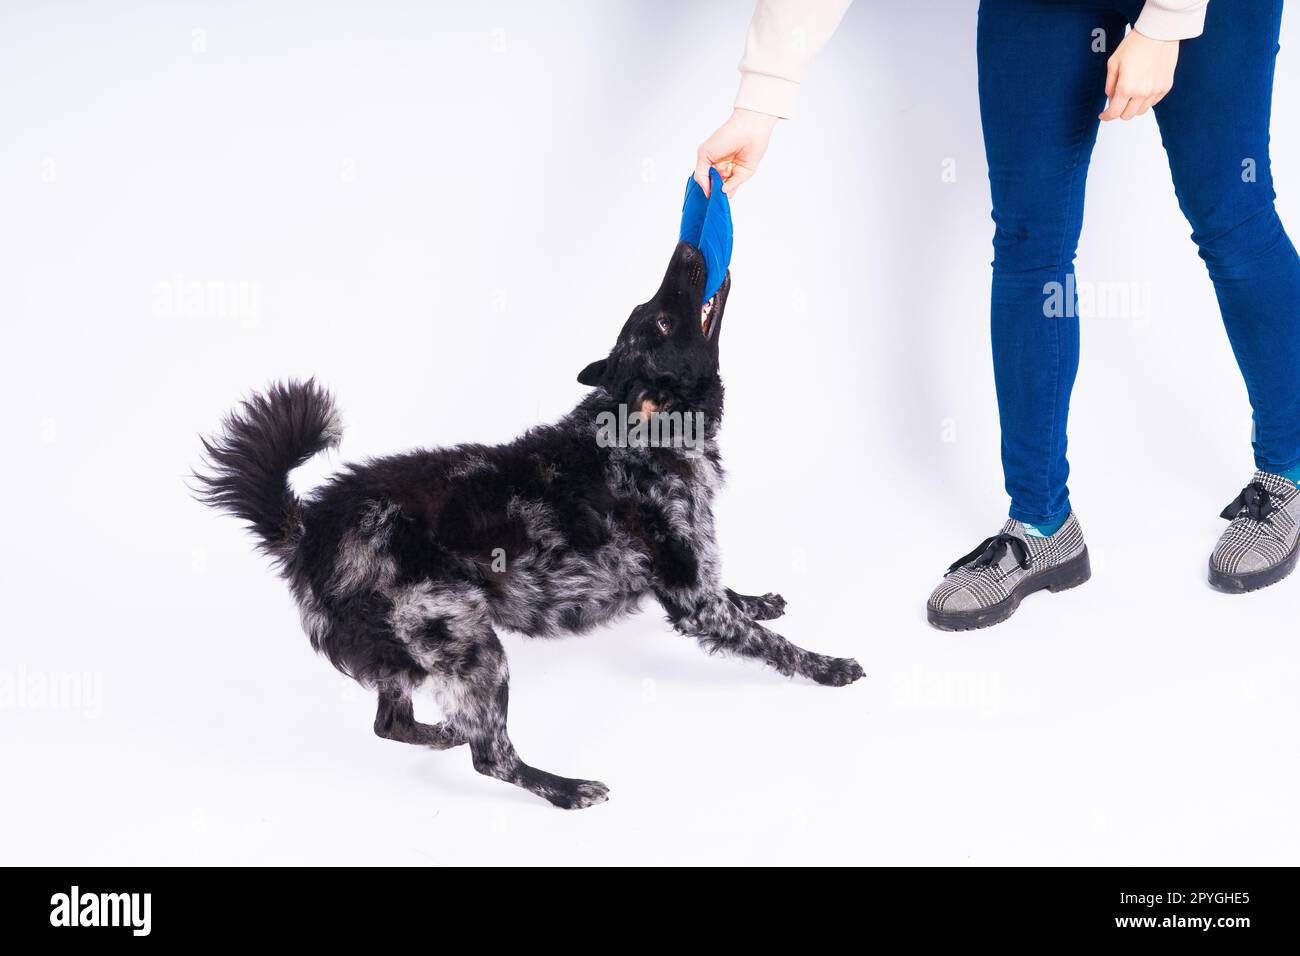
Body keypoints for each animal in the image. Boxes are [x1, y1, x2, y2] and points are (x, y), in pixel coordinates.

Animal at [197, 240, 857, 806]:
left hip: (411, 652)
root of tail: (310, 526)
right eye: (664, 323)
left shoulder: (697, 580)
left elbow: (739, 599)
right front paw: (828, 667)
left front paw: (761, 600)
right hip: (470, 642)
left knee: (392, 723)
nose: (688, 248)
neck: (638, 436)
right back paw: (564, 788)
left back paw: (444, 734)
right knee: (491, 757)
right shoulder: (694, 602)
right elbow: (770, 643)